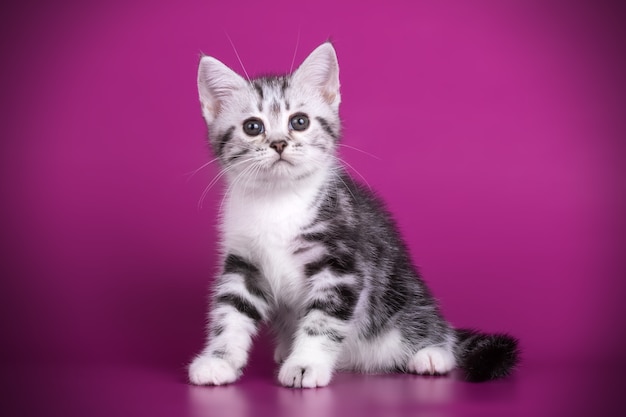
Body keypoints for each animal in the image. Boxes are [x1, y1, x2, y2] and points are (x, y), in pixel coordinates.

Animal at [188, 41, 520, 386]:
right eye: (253, 127)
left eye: (299, 122)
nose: (279, 144)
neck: (278, 200)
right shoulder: (243, 263)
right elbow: (230, 312)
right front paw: (219, 360)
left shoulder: (341, 264)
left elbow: (322, 320)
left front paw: (305, 364)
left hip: (406, 298)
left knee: (433, 332)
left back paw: (431, 354)